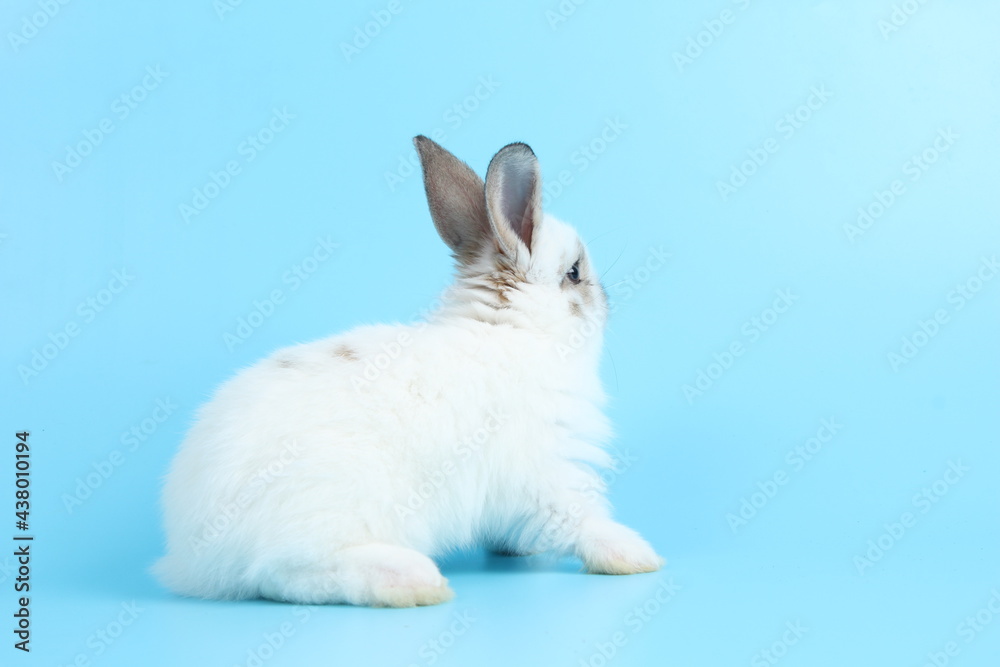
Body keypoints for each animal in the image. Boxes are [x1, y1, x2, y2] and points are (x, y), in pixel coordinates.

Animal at [154, 136, 663, 607]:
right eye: (574, 273)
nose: (607, 301)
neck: (514, 329)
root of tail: (193, 556)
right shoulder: (545, 474)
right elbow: (581, 522)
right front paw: (637, 556)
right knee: (284, 572)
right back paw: (413, 581)